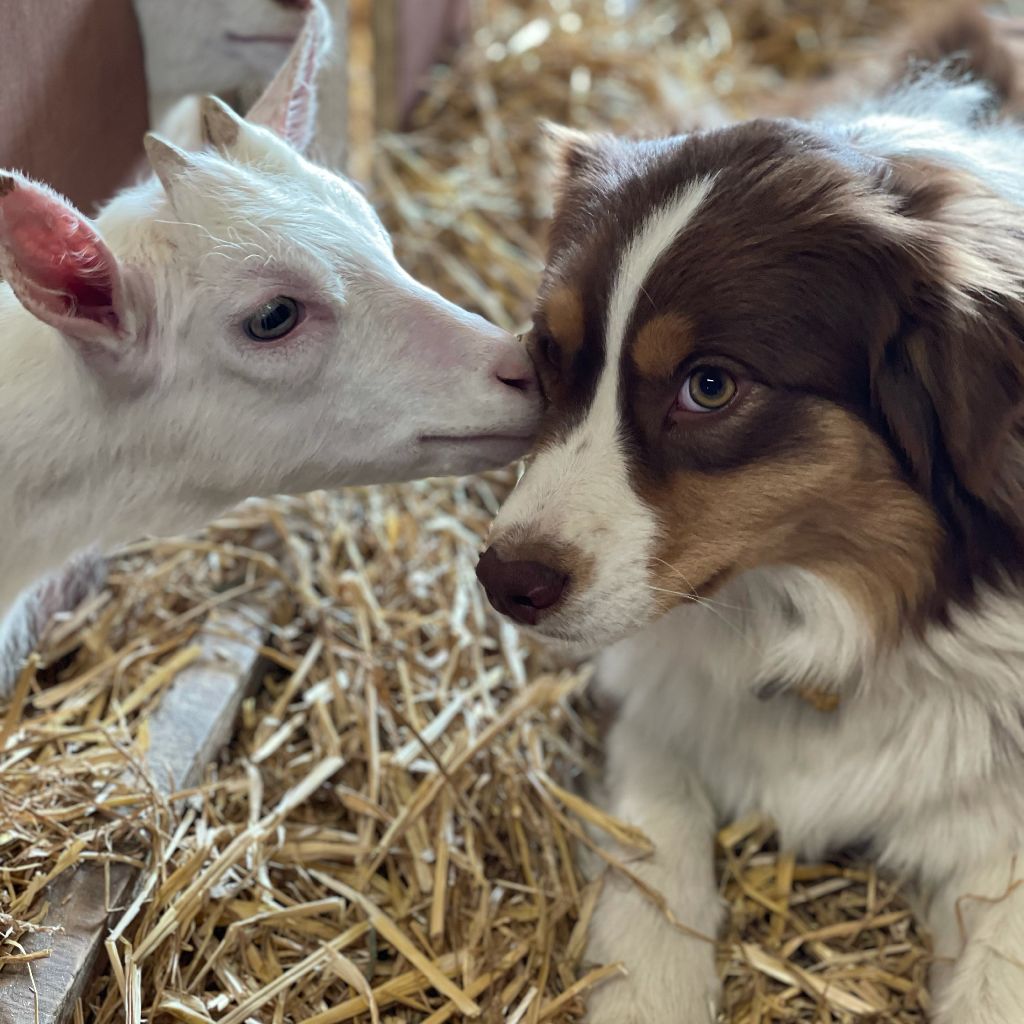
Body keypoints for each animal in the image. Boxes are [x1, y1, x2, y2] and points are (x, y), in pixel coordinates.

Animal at [479, 9, 1024, 1024]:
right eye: (547, 353)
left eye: (710, 386)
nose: (504, 581)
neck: (817, 619)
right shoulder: (650, 704)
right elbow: (653, 849)